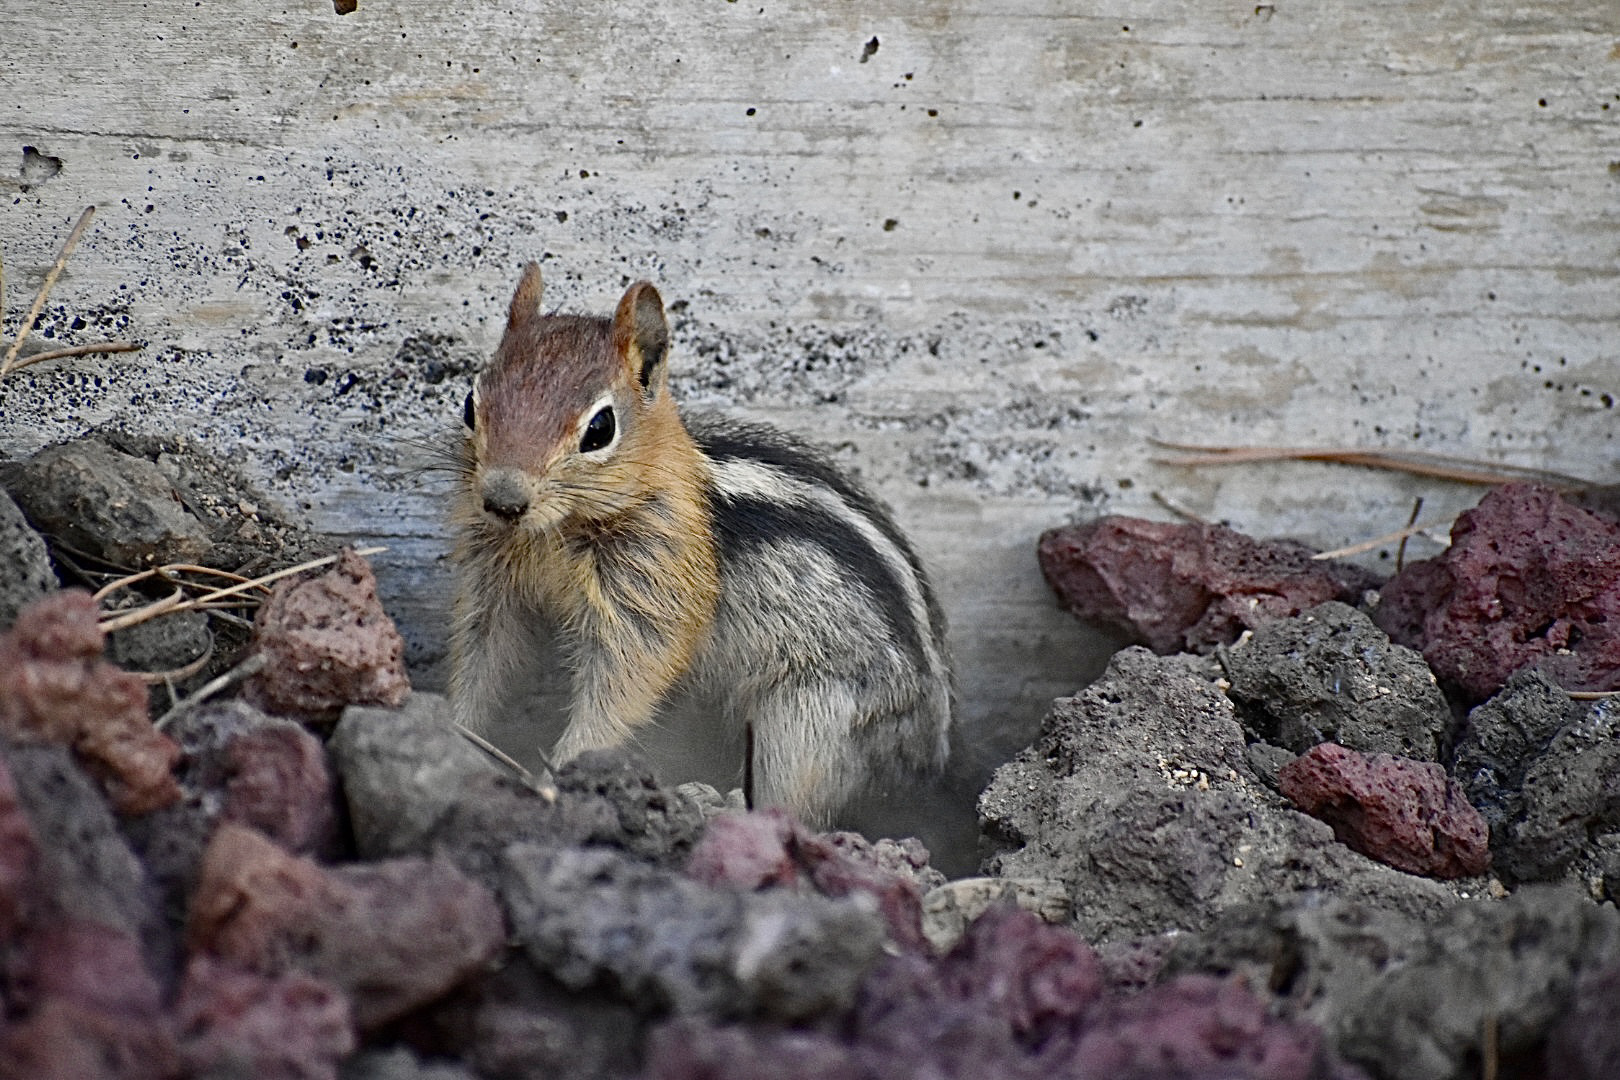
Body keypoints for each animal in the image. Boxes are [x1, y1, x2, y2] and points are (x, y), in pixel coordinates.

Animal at [447, 262, 953, 827]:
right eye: (469, 404)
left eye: (600, 428)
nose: (502, 500)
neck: (553, 532)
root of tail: (928, 754)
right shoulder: (492, 587)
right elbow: (481, 659)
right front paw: (454, 731)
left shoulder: (650, 598)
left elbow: (624, 686)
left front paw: (559, 774)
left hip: (810, 722)